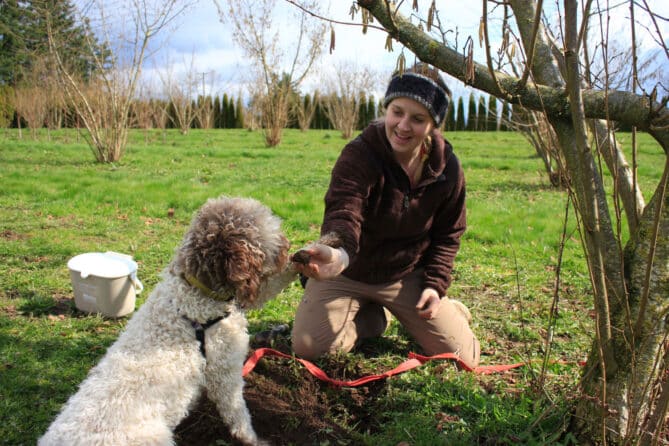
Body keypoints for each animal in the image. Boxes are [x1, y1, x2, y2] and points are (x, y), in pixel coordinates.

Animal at [38, 197, 294, 444]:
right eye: (270, 227)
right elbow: (237, 414)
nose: (288, 245)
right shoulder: (225, 371)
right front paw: (253, 439)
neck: (194, 295)